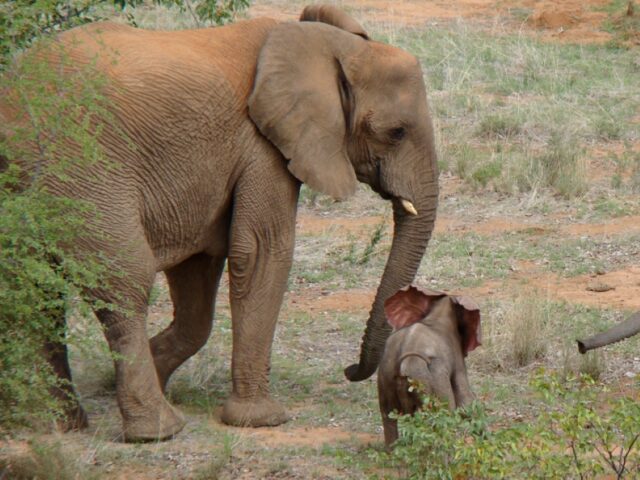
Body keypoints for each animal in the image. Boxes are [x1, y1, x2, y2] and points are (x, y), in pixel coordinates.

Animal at [0, 5, 440, 442]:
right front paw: (260, 420)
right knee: (125, 279)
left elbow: (199, 273)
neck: (326, 45)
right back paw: (157, 431)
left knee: (35, 290)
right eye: (396, 132)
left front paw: (146, 373)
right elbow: (262, 251)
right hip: (84, 168)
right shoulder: (263, 146)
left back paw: (63, 424)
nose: (349, 370)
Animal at [376, 284, 480, 446]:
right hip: (432, 377)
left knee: (387, 415)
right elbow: (465, 400)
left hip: (386, 375)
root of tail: (405, 364)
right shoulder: (456, 356)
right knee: (445, 412)